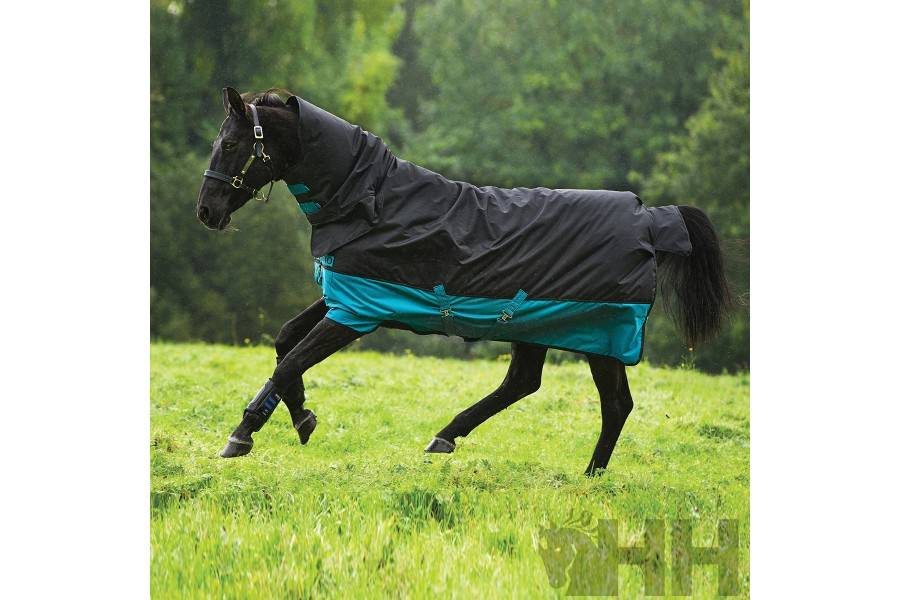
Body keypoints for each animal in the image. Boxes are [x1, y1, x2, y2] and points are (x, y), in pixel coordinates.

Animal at [195, 88, 730, 476]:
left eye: (231, 144)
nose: (206, 212)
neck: (372, 201)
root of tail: (649, 218)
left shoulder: (357, 312)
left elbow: (290, 362)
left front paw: (253, 432)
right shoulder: (346, 294)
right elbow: (285, 342)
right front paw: (289, 420)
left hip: (602, 335)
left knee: (614, 404)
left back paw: (590, 477)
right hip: (535, 328)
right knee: (523, 383)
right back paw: (447, 437)